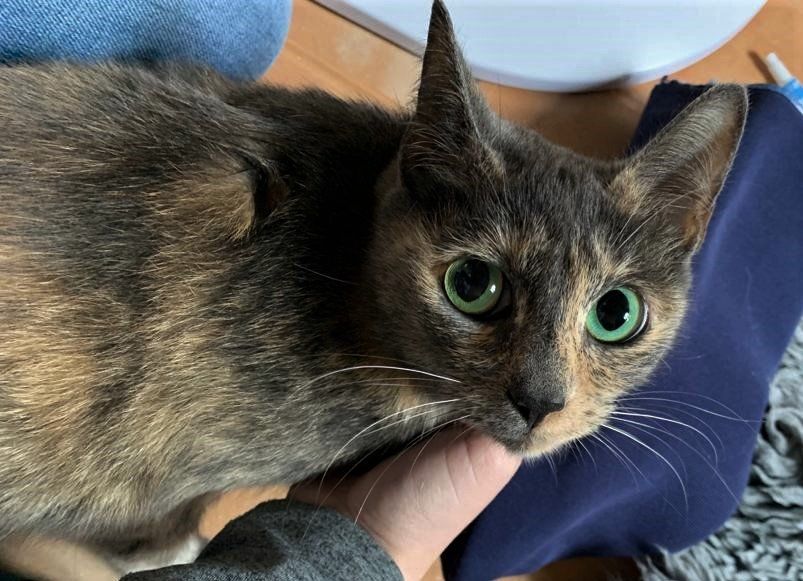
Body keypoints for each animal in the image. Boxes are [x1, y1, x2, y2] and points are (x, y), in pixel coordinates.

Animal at [0, 0, 746, 575]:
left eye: (616, 312)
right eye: (471, 284)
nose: (540, 400)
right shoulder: (158, 471)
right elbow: (154, 526)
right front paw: (165, 548)